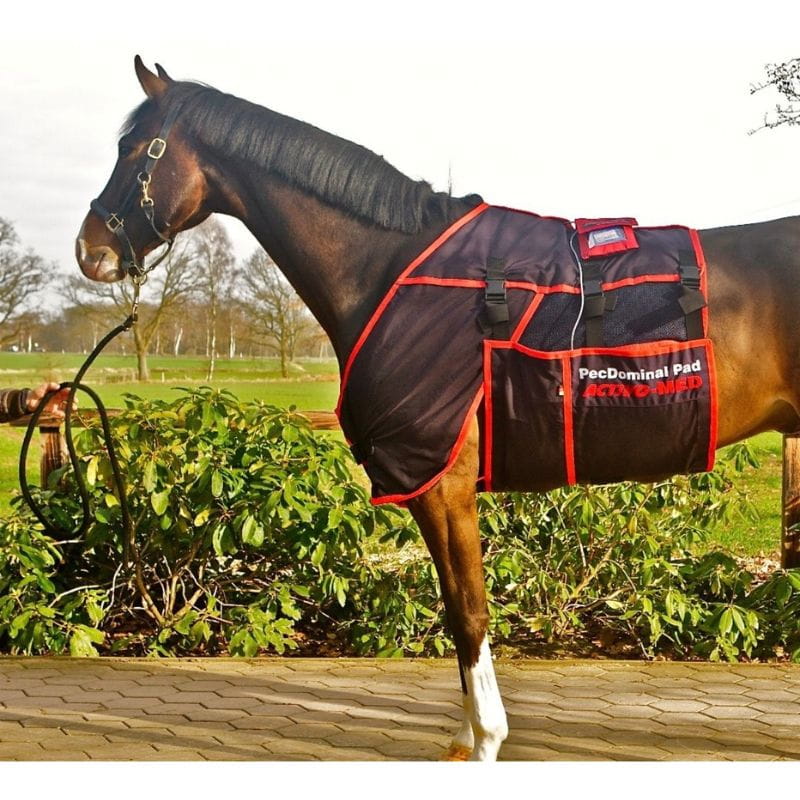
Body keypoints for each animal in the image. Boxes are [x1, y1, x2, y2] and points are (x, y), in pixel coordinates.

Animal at [75, 57, 800, 761]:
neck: (391, 268)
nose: (89, 250)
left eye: (134, 150)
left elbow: (468, 613)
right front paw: (467, 737)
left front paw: (486, 741)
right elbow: (458, 609)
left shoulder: (441, 482)